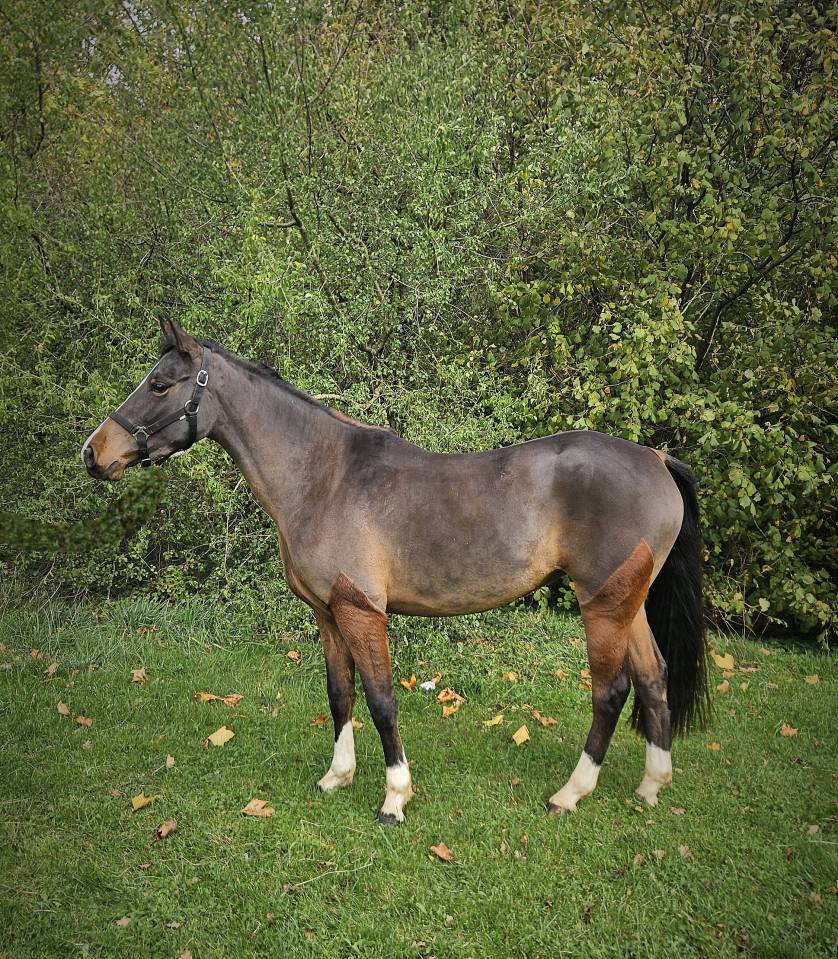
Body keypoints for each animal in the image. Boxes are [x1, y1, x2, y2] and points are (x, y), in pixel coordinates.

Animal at [82, 319, 708, 824]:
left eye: (160, 384)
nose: (93, 453)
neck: (324, 476)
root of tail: (655, 458)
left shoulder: (363, 612)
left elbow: (382, 701)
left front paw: (394, 798)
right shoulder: (328, 613)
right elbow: (340, 694)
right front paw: (337, 777)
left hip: (602, 603)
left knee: (612, 691)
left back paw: (570, 794)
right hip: (627, 601)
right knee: (653, 678)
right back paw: (651, 787)